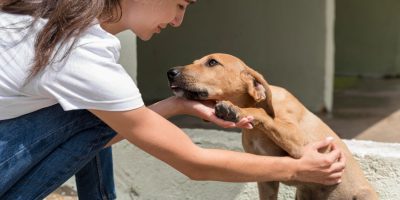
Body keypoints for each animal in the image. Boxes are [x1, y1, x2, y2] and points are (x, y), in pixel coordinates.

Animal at [166, 53, 378, 200]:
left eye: (212, 62)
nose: (170, 72)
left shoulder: (302, 143)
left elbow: (260, 113)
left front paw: (235, 110)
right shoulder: (266, 177)